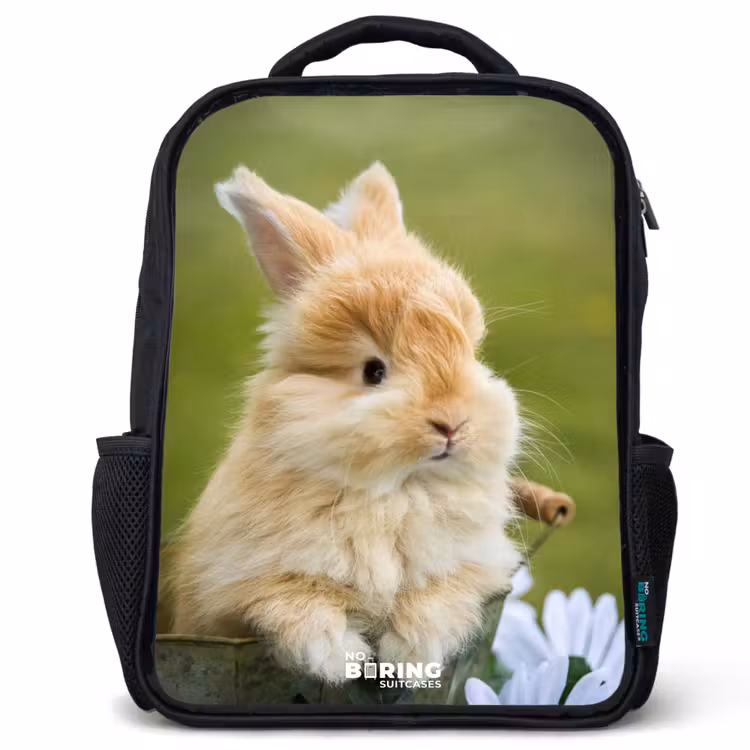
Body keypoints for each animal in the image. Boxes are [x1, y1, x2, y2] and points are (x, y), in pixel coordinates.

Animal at [166, 162, 547, 684]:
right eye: (373, 372)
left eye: (471, 354)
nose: (453, 425)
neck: (395, 495)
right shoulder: (233, 588)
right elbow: (293, 601)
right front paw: (339, 658)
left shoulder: (475, 567)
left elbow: (438, 597)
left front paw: (410, 659)